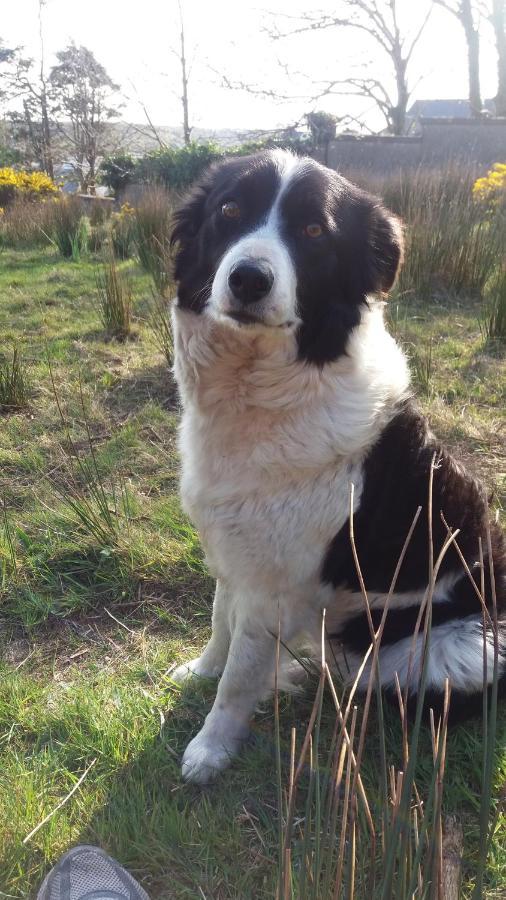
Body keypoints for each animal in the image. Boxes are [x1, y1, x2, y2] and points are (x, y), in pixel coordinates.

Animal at [171, 151, 506, 784]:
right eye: (229, 210)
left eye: (312, 231)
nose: (248, 278)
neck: (267, 391)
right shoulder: (237, 546)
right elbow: (221, 623)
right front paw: (200, 672)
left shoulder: (275, 582)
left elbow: (240, 676)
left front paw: (211, 747)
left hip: (460, 649)